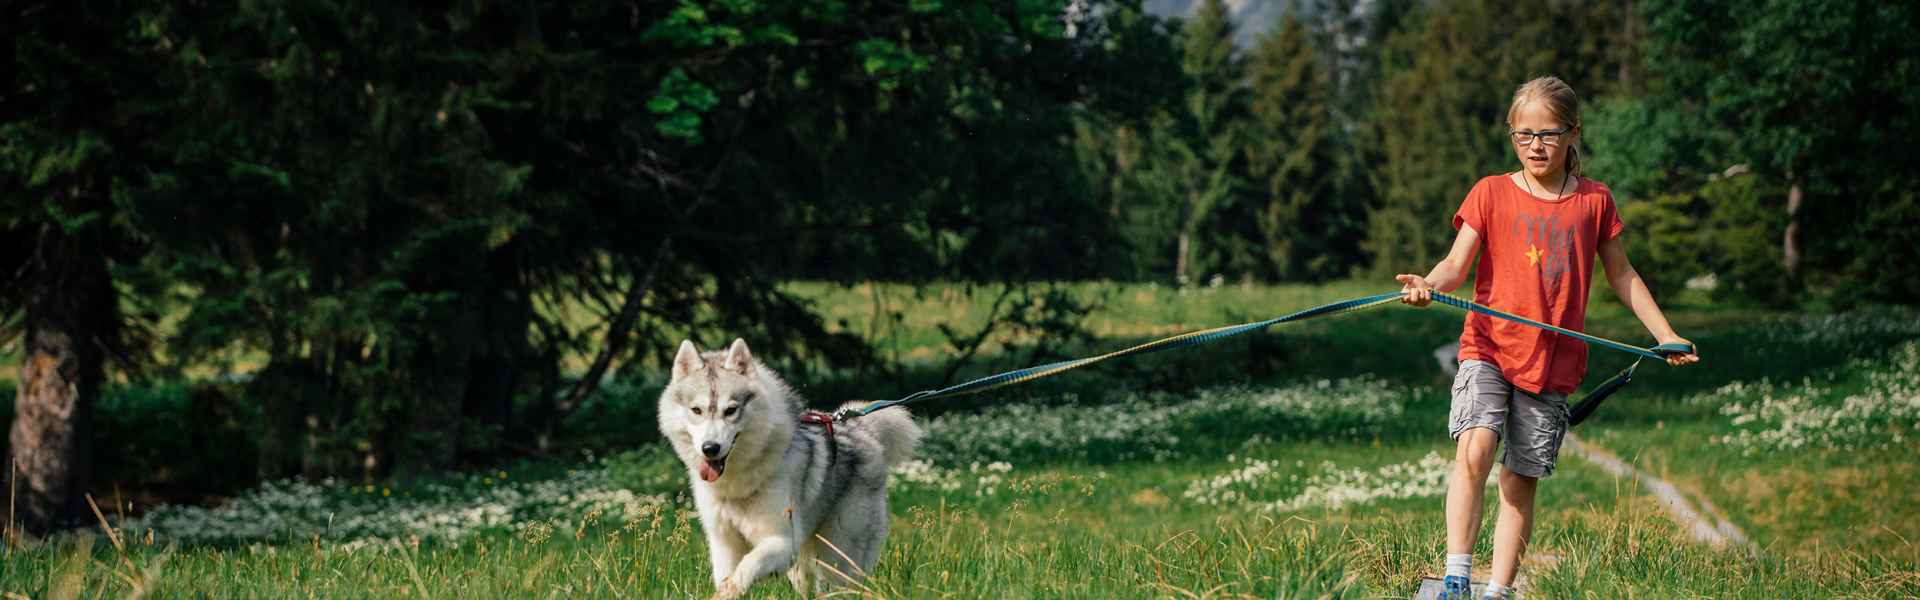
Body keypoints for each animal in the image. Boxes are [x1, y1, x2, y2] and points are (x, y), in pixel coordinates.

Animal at [660, 340, 921, 596]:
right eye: (696, 410)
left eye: (731, 410)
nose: (710, 448)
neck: (737, 484)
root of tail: (862, 429)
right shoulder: (723, 544)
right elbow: (729, 574)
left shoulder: (782, 542)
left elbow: (747, 567)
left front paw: (731, 588)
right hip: (804, 566)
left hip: (837, 558)